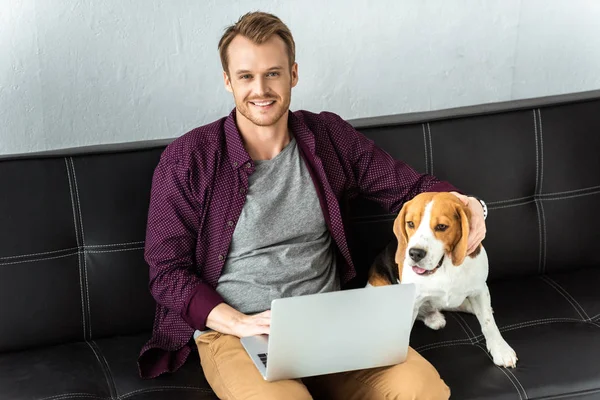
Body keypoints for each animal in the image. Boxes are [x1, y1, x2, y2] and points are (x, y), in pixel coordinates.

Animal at [368, 192, 516, 368]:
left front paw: (501, 349)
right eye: (410, 224)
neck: (444, 266)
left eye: (441, 227)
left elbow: (489, 323)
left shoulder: (480, 290)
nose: (415, 253)